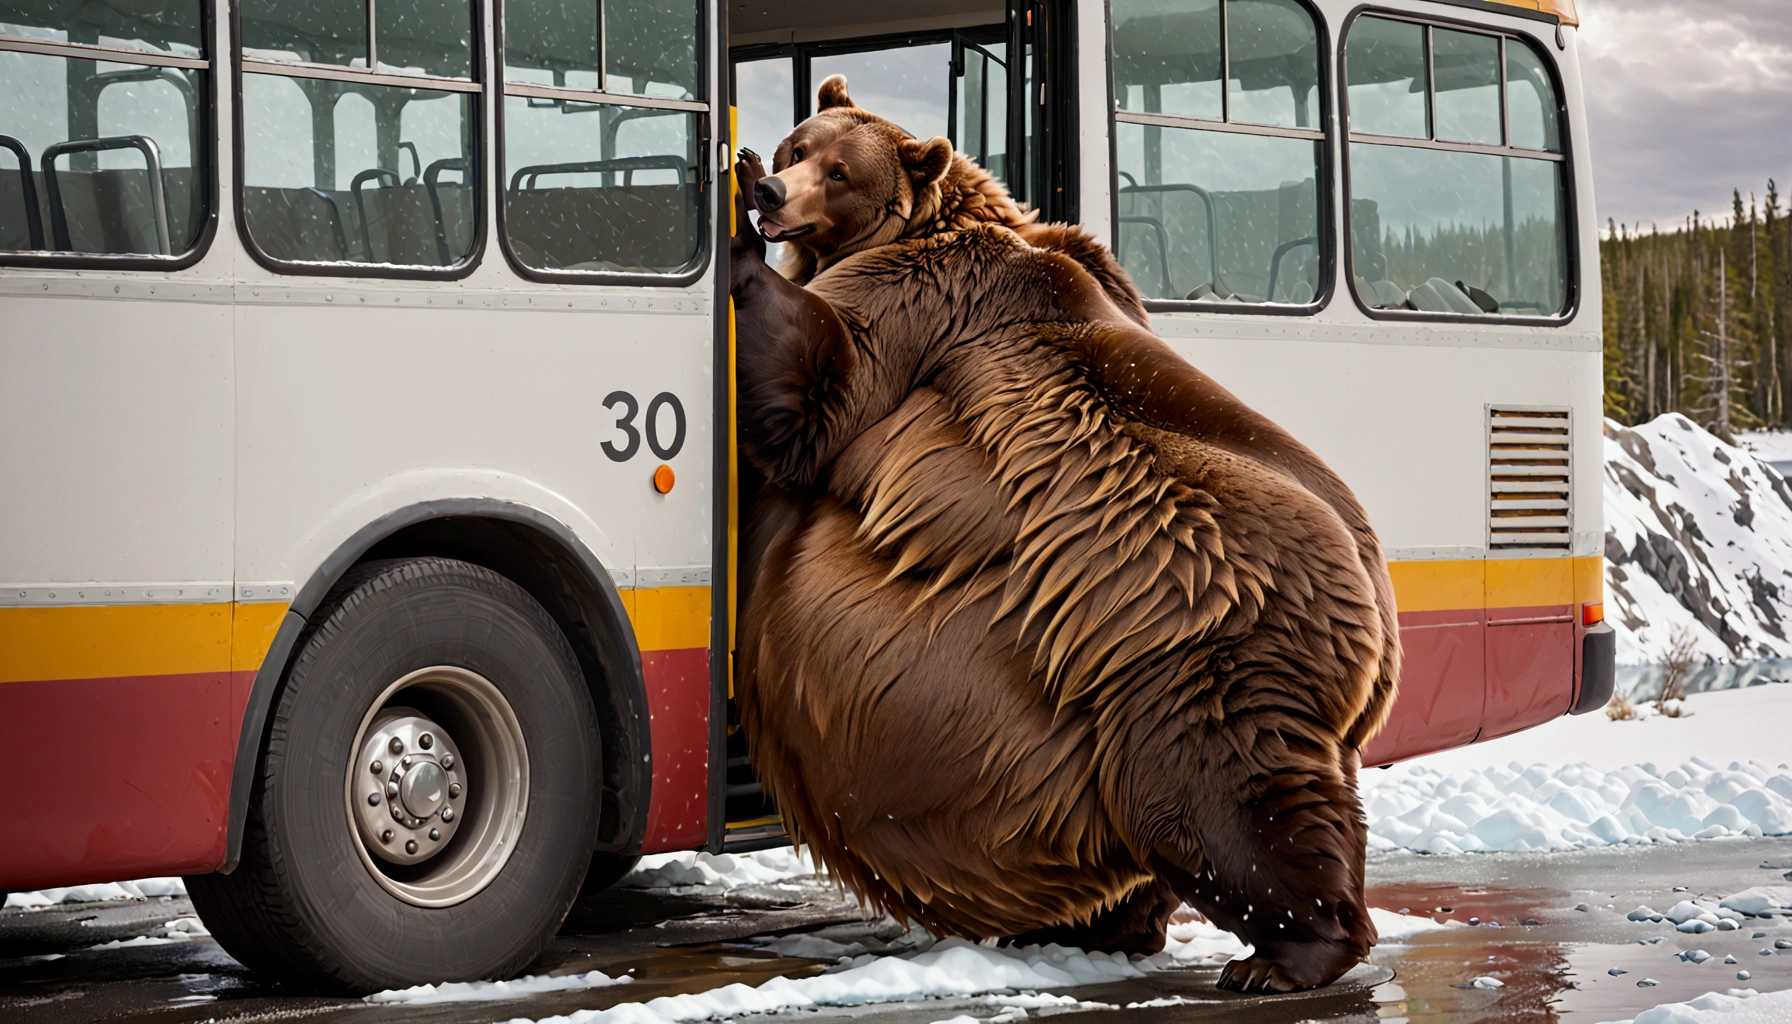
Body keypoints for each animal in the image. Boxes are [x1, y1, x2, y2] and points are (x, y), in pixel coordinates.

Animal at [727, 73, 1397, 997]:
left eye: (838, 171)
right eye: (801, 145)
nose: (769, 189)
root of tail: (1381, 612)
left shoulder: (914, 308)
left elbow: (822, 388)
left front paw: (737, 242)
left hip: (1189, 642)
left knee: (1218, 797)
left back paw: (1285, 956)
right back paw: (1110, 926)